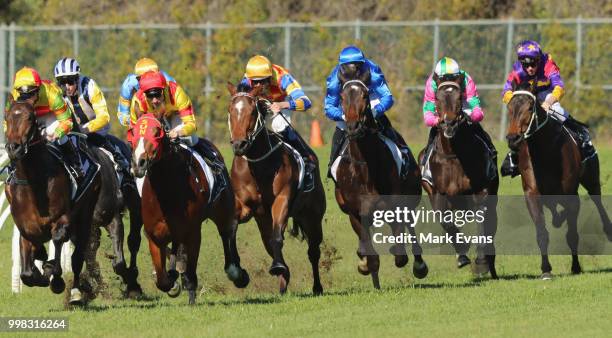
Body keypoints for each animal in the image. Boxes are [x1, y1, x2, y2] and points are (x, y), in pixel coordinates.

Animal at [130, 113, 250, 304]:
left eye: (157, 132)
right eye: (133, 132)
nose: (139, 163)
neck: (166, 190)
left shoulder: (193, 231)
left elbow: (190, 269)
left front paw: (188, 287)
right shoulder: (154, 236)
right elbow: (162, 280)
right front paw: (172, 280)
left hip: (223, 209)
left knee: (228, 232)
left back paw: (237, 273)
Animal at [226, 83, 326, 294]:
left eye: (252, 112)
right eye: (230, 111)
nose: (239, 145)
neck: (258, 164)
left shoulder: (282, 200)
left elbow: (277, 238)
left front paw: (279, 267)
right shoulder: (245, 206)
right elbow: (232, 229)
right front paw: (238, 274)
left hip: (312, 217)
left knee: (313, 251)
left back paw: (316, 286)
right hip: (265, 220)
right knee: (269, 242)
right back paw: (283, 281)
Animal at [332, 63, 428, 288]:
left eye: (365, 95)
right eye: (342, 96)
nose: (353, 127)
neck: (366, 170)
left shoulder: (395, 207)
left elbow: (400, 254)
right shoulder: (356, 213)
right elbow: (370, 253)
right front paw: (365, 266)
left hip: (410, 198)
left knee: (410, 229)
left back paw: (419, 265)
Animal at [418, 78, 500, 278]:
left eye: (460, 97)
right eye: (437, 98)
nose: (449, 124)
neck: (454, 154)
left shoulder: (481, 191)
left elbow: (483, 222)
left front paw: (481, 261)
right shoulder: (438, 193)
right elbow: (446, 222)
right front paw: (462, 253)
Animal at [504, 80, 608, 278]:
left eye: (529, 107)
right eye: (509, 107)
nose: (513, 138)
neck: (545, 150)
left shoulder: (570, 193)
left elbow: (572, 234)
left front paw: (576, 267)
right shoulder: (532, 192)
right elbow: (542, 233)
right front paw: (545, 270)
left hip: (591, 179)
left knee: (597, 200)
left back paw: (608, 229)